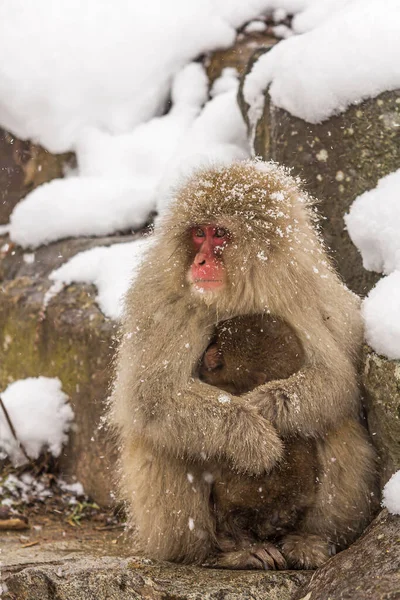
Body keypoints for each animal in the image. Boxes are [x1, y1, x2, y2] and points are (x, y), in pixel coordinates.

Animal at [110, 161, 378, 572]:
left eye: (219, 234)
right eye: (198, 233)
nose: (200, 261)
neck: (240, 292)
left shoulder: (305, 290)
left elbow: (337, 380)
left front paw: (264, 406)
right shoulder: (163, 300)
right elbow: (152, 395)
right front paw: (253, 433)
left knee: (334, 424)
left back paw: (309, 539)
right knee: (170, 441)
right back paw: (225, 552)